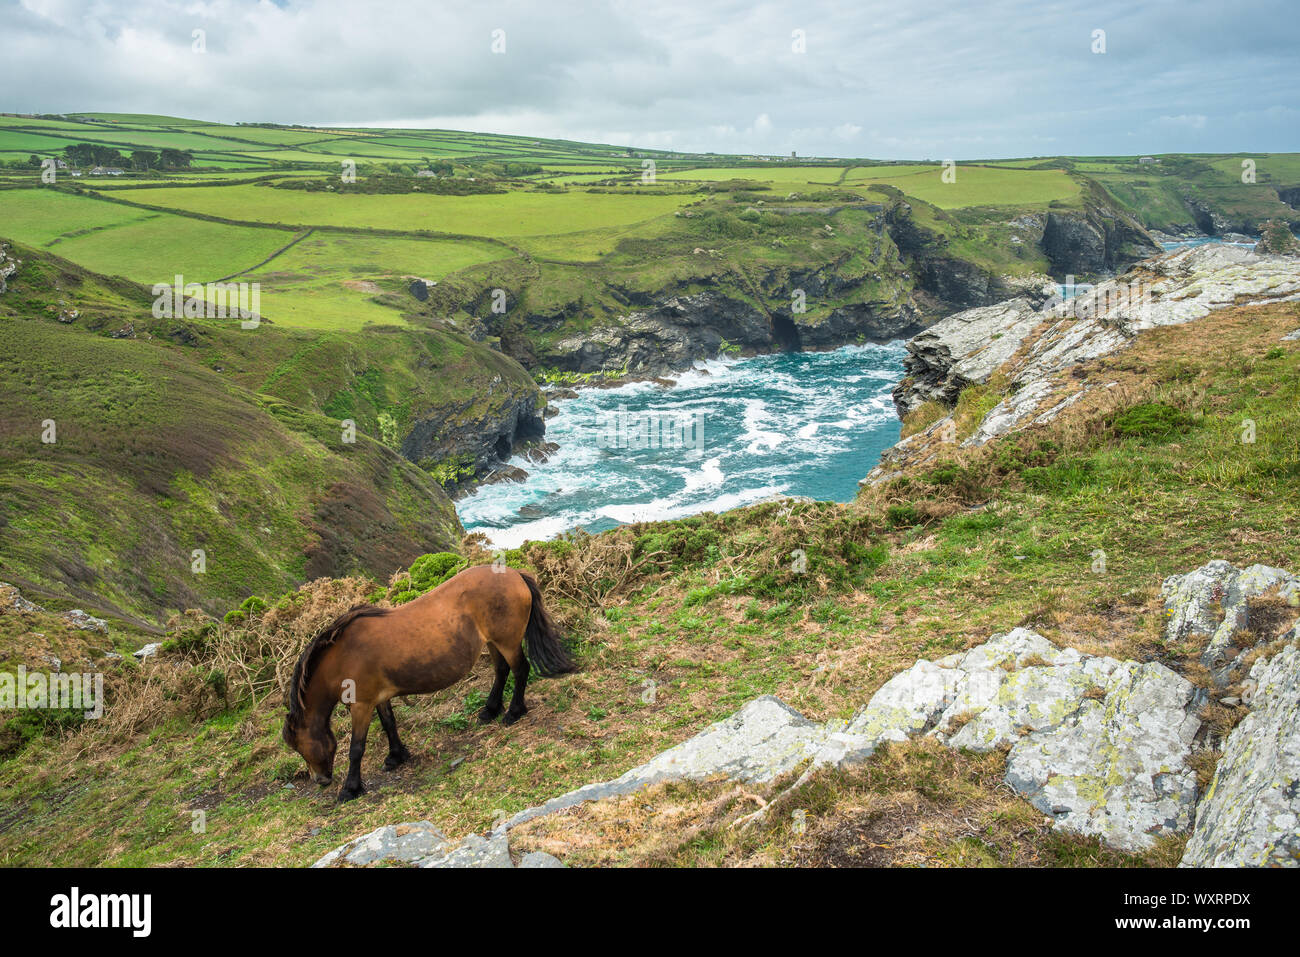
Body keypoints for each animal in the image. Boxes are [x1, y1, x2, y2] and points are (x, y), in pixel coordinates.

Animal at [282, 564, 572, 806]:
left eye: (299, 745)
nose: (320, 780)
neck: (343, 654)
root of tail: (514, 574)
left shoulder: (361, 705)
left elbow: (356, 748)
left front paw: (350, 789)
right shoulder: (379, 697)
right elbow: (389, 724)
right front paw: (396, 756)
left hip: (507, 641)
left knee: (520, 670)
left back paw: (514, 712)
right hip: (492, 642)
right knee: (501, 671)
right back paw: (490, 710)